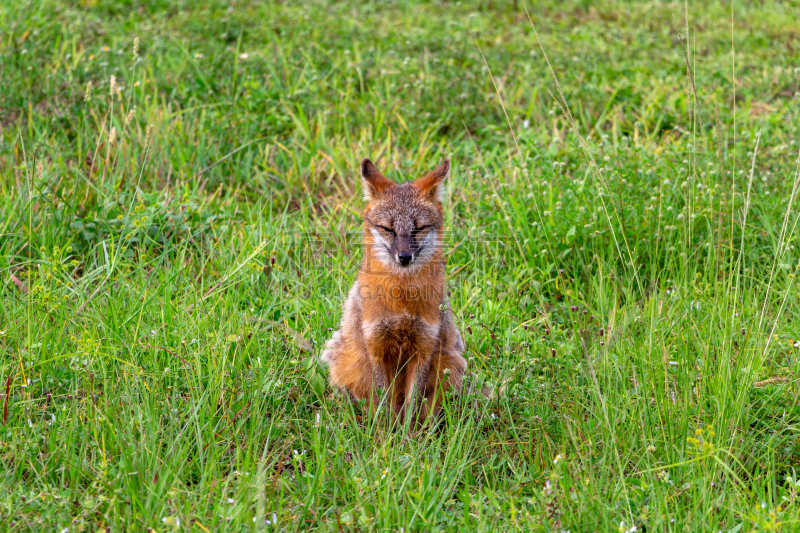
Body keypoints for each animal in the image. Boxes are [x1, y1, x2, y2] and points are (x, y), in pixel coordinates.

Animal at [320, 157, 468, 424]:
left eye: (419, 228)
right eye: (388, 229)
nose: (404, 257)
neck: (402, 299)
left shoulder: (424, 347)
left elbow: (412, 406)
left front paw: (409, 436)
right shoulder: (376, 345)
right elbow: (383, 405)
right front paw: (385, 435)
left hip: (452, 365)